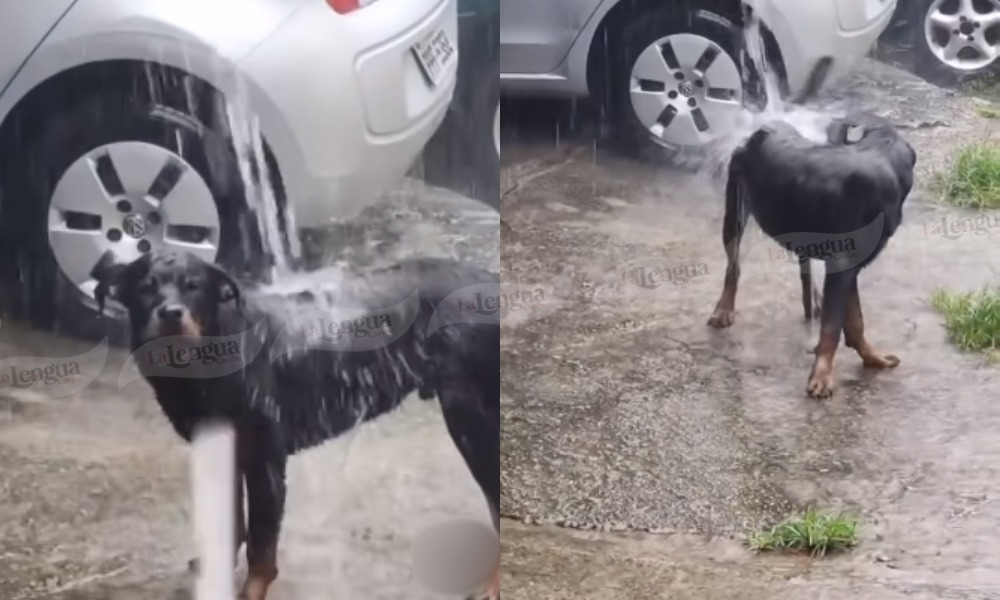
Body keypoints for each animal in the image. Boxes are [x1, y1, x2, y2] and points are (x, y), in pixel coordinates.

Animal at [89, 251, 500, 600]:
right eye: (145, 287)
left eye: (194, 285)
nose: (171, 313)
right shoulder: (227, 451)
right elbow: (232, 523)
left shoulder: (266, 462)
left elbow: (261, 548)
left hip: (471, 421)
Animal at [708, 117, 916, 398]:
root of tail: (763, 129)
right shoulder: (842, 264)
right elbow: (833, 326)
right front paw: (821, 377)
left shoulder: (849, 268)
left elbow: (855, 321)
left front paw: (872, 358)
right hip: (735, 210)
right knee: (733, 267)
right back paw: (724, 310)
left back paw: (814, 301)